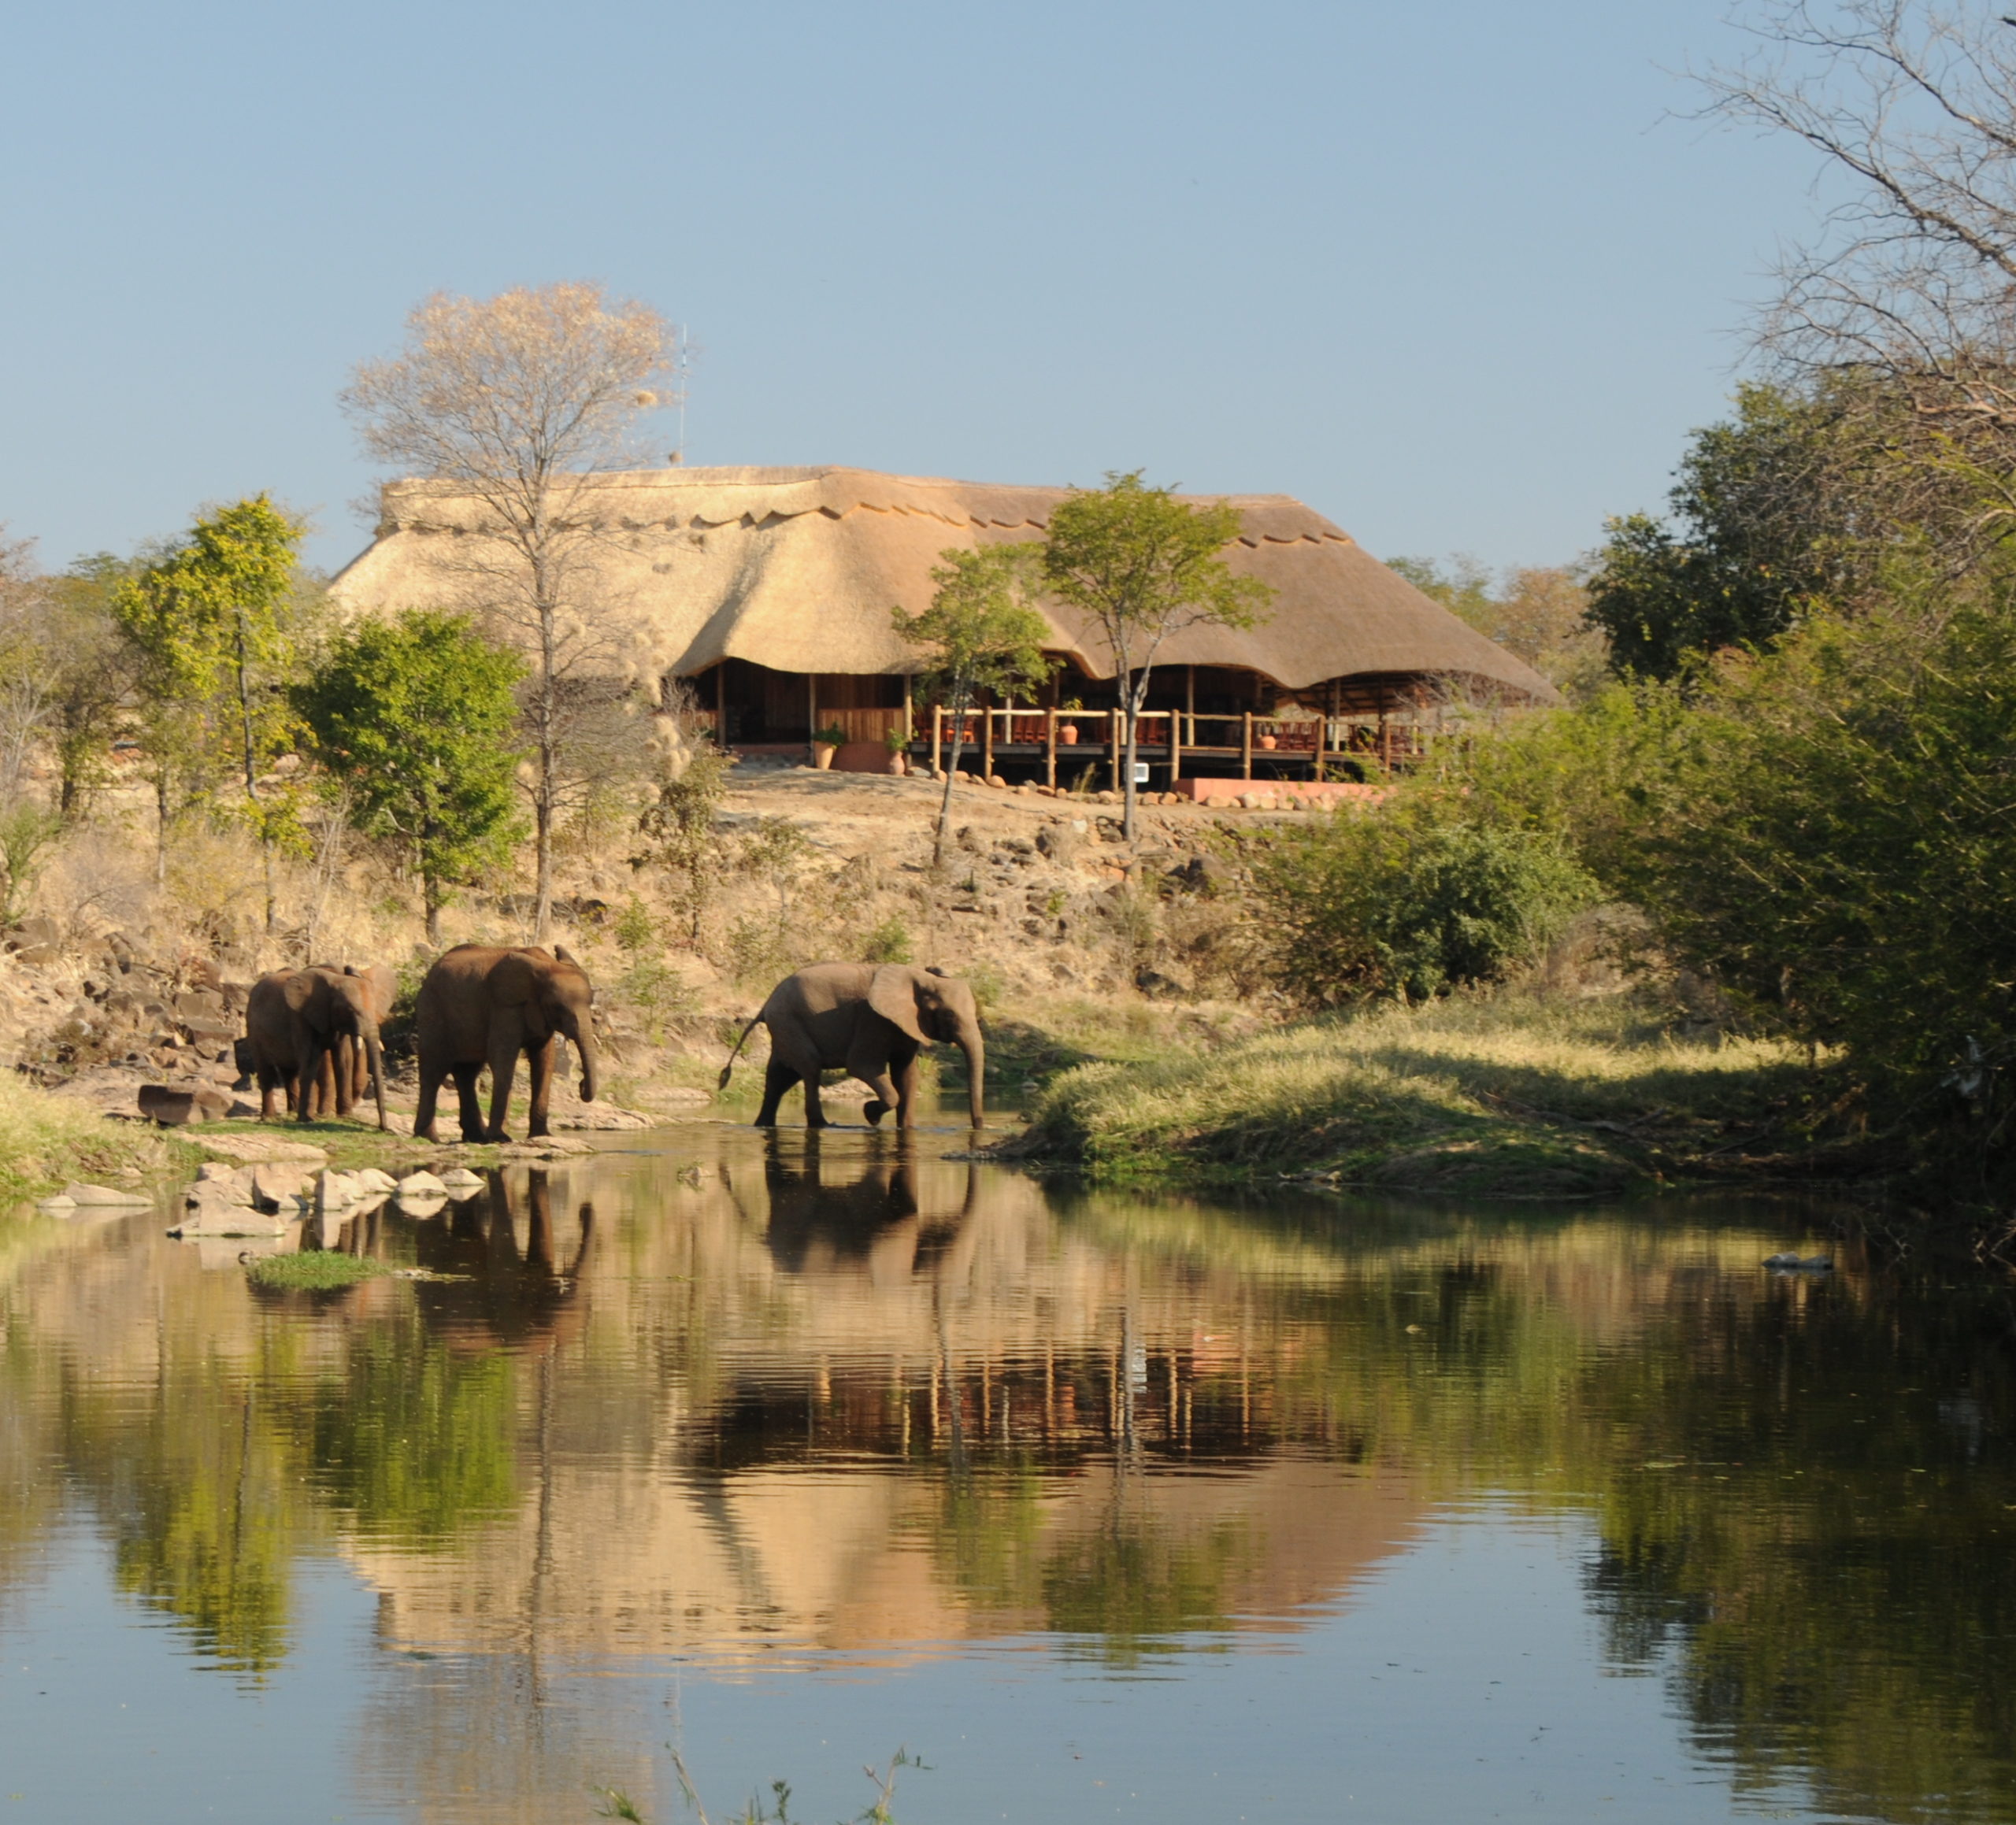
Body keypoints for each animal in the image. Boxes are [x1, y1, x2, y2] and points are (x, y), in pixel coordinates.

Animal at [242, 968, 391, 1121]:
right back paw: (269, 1117)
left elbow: (343, 1060)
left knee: (289, 1073)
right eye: (350, 1011)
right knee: (266, 1071)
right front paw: (307, 1118)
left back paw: (292, 1112)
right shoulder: (300, 1018)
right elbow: (310, 1059)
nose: (382, 1126)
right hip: (253, 1028)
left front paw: (345, 1116)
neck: (335, 980)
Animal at [409, 939, 596, 1137]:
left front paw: (542, 1135)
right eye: (557, 1007)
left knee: (467, 1073)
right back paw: (428, 1137)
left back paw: (476, 1137)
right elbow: (502, 1057)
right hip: (432, 1010)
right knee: (434, 1071)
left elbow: (544, 1060)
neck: (547, 965)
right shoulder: (504, 1006)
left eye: (591, 1002)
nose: (581, 1085)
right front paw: (500, 1138)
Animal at [721, 968, 988, 1121]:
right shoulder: (873, 1020)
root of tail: (766, 1003)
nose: (977, 1127)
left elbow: (907, 1077)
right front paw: (870, 1115)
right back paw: (827, 1126)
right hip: (788, 1021)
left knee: (779, 1077)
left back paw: (763, 1125)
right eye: (949, 1015)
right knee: (810, 1069)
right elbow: (862, 1067)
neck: (921, 978)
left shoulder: (904, 1025)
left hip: (784, 1026)